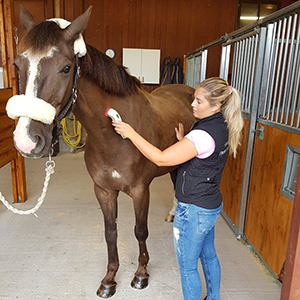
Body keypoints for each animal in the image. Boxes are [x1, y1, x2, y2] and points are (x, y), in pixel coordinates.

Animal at [7, 6, 196, 298]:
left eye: (66, 68)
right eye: (18, 65)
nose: (26, 140)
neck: (113, 136)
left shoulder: (140, 190)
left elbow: (140, 231)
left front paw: (141, 274)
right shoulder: (104, 191)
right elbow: (110, 233)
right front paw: (109, 279)